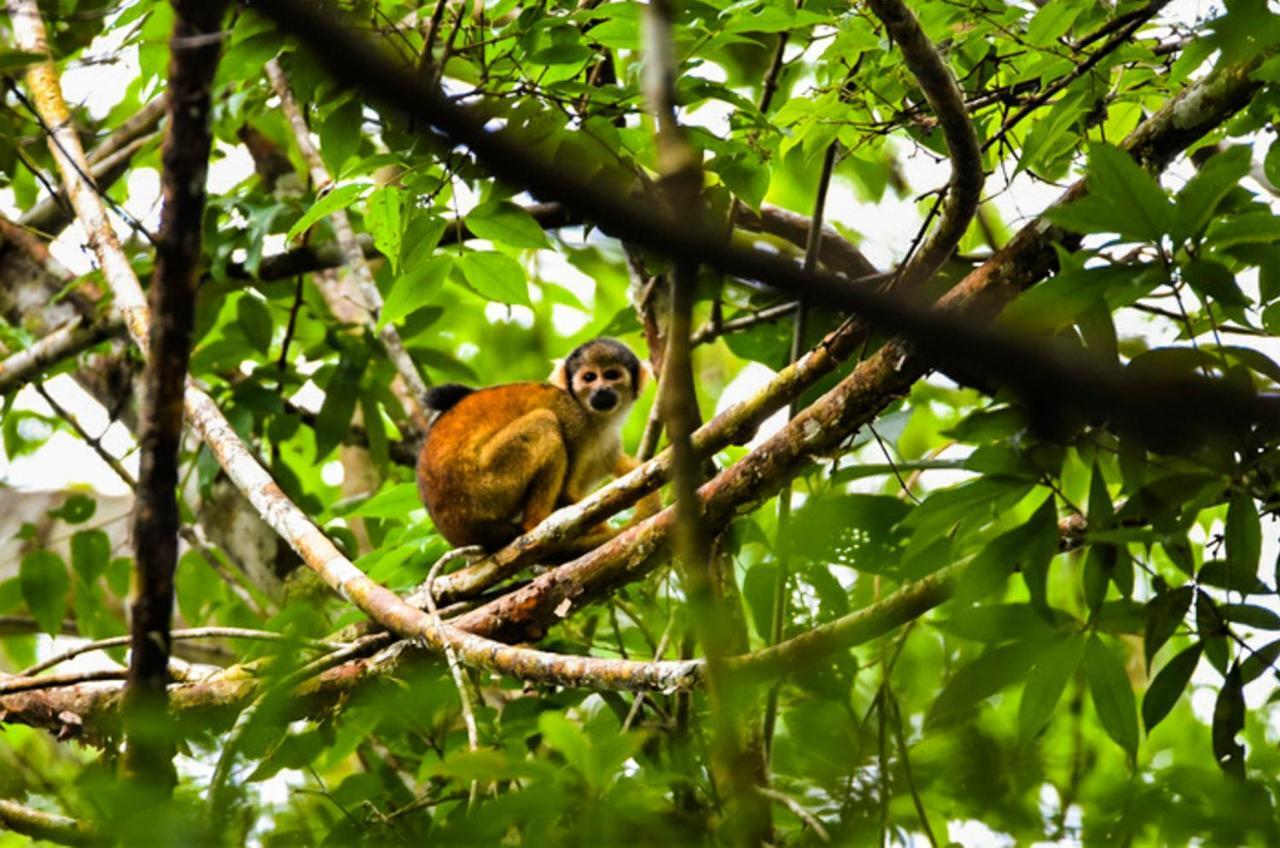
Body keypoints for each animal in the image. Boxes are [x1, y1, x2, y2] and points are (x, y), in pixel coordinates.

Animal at [417, 338, 660, 550]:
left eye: (611, 375)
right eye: (589, 377)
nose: (601, 390)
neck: (594, 418)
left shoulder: (610, 445)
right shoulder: (573, 418)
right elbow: (565, 495)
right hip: (483, 487)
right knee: (545, 421)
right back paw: (535, 525)